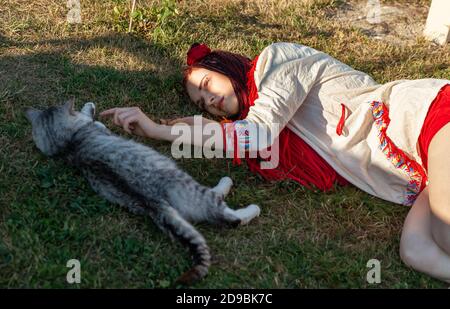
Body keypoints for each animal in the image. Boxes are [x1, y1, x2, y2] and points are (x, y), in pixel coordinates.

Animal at [25, 99, 260, 284]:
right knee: (228, 214)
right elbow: (92, 120)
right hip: (190, 187)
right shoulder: (95, 128)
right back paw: (241, 199)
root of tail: (153, 202)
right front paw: (88, 108)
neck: (69, 144)